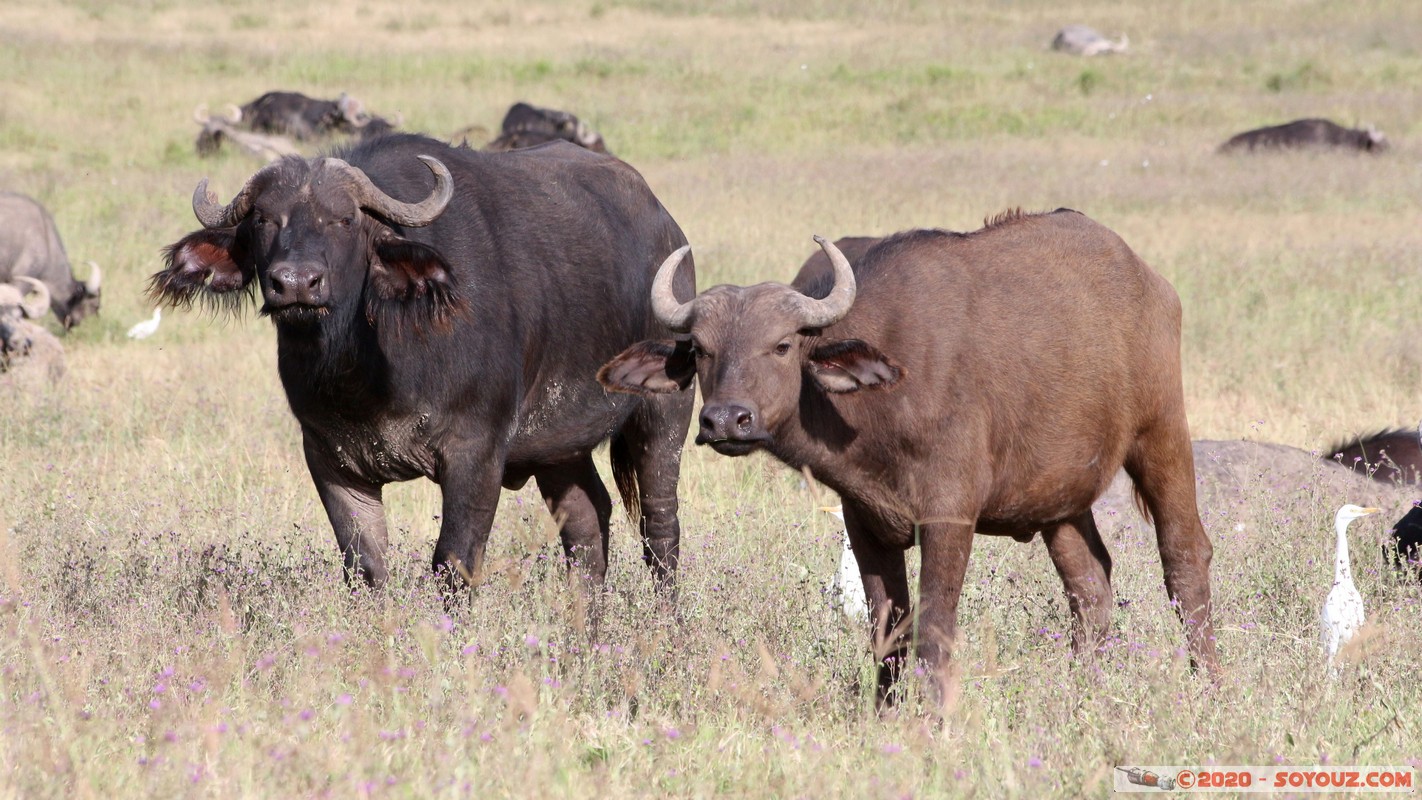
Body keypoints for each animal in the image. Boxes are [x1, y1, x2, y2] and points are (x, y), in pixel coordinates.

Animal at [151, 133, 695, 594]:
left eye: (344, 219)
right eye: (264, 219)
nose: (296, 283)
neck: (368, 372)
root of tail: (670, 233)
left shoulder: (477, 454)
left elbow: (453, 562)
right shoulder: (330, 460)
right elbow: (365, 566)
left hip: (665, 415)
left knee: (660, 530)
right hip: (560, 447)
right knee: (587, 524)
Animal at [599, 210, 1217, 702]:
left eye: (782, 344)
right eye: (702, 350)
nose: (726, 420)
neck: (878, 406)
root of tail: (1150, 282)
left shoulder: (948, 519)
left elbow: (934, 628)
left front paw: (932, 721)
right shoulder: (865, 523)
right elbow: (888, 633)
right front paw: (885, 714)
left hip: (1161, 434)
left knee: (1185, 557)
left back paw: (1207, 683)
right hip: (1060, 498)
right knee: (1089, 584)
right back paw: (1082, 688)